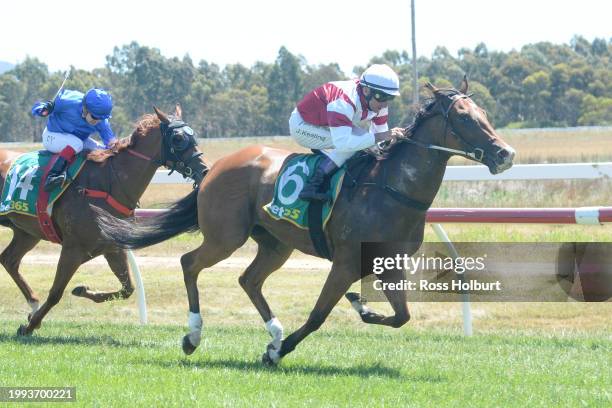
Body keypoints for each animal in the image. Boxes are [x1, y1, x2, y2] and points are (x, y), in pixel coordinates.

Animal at [0, 104, 207, 334]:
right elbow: (55, 293)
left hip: (27, 232)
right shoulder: (73, 248)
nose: (204, 170)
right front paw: (30, 325)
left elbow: (127, 289)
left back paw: (33, 301)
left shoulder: (112, 247)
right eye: (178, 139)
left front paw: (81, 289)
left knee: (9, 260)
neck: (107, 183)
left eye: (194, 136)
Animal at [95, 79, 516, 364]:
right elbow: (318, 315)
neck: (391, 189)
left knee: (249, 280)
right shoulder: (345, 262)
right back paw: (194, 336)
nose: (505, 154)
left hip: (275, 243)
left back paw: (273, 331)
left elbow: (402, 316)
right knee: (189, 264)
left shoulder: (387, 263)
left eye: (485, 115)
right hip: (226, 236)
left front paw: (361, 308)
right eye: (463, 117)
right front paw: (279, 352)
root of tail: (215, 167)